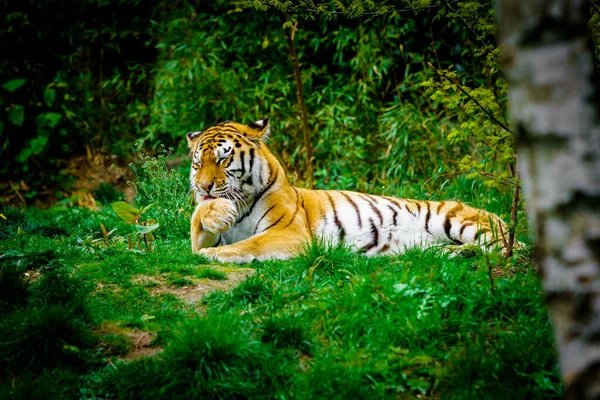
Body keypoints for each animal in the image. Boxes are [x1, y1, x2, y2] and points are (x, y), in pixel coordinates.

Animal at [188, 118, 506, 266]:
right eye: (198, 163)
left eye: (223, 159)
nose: (203, 186)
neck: (242, 201)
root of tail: (500, 216)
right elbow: (196, 225)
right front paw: (215, 214)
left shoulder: (289, 233)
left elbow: (249, 245)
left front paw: (211, 255)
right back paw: (461, 254)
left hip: (459, 221)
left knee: (508, 249)